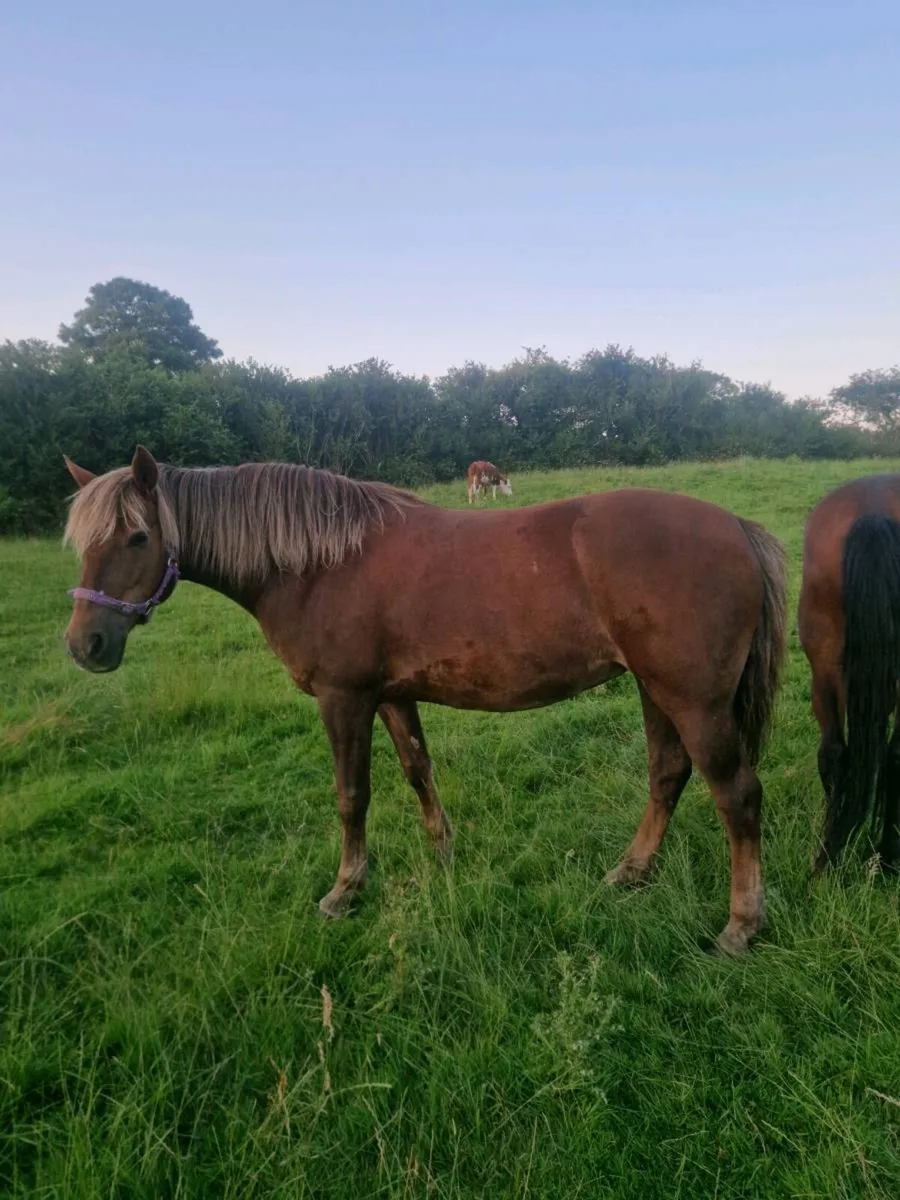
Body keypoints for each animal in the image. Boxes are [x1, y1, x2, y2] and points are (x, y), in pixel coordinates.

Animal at [62, 447, 787, 954]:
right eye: (81, 543)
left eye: (137, 537)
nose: (84, 644)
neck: (316, 564)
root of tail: (736, 526)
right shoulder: (390, 696)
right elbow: (417, 769)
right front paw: (443, 854)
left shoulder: (343, 699)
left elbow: (351, 794)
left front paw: (345, 889)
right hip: (655, 690)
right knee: (667, 774)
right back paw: (631, 874)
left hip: (693, 700)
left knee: (737, 795)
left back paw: (741, 925)